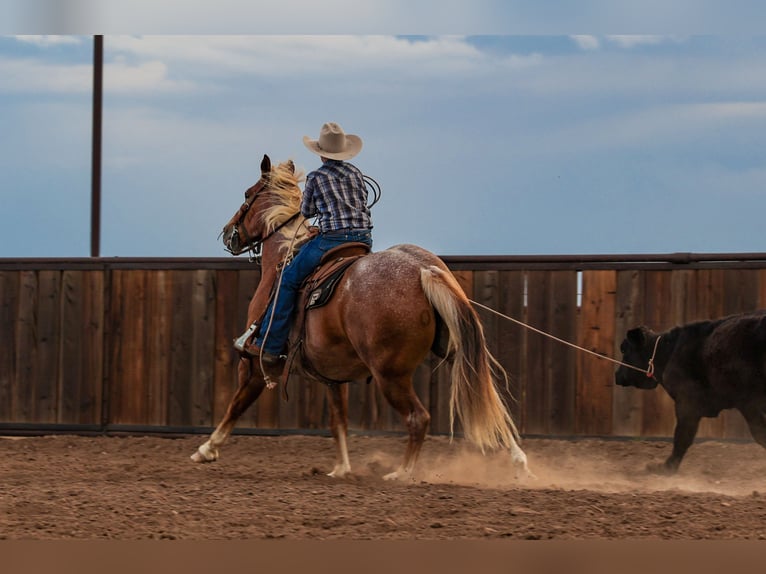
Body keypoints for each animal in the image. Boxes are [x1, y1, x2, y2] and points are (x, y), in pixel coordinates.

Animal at [191, 154, 531, 480]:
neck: (283, 256)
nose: (228, 234)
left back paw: (401, 472)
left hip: (390, 374)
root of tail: (423, 269)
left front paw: (206, 449)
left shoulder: (254, 361)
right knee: (491, 402)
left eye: (247, 194)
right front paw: (341, 468)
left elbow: (236, 405)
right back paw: (519, 463)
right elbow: (338, 420)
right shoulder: (331, 373)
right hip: (453, 353)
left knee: (418, 418)